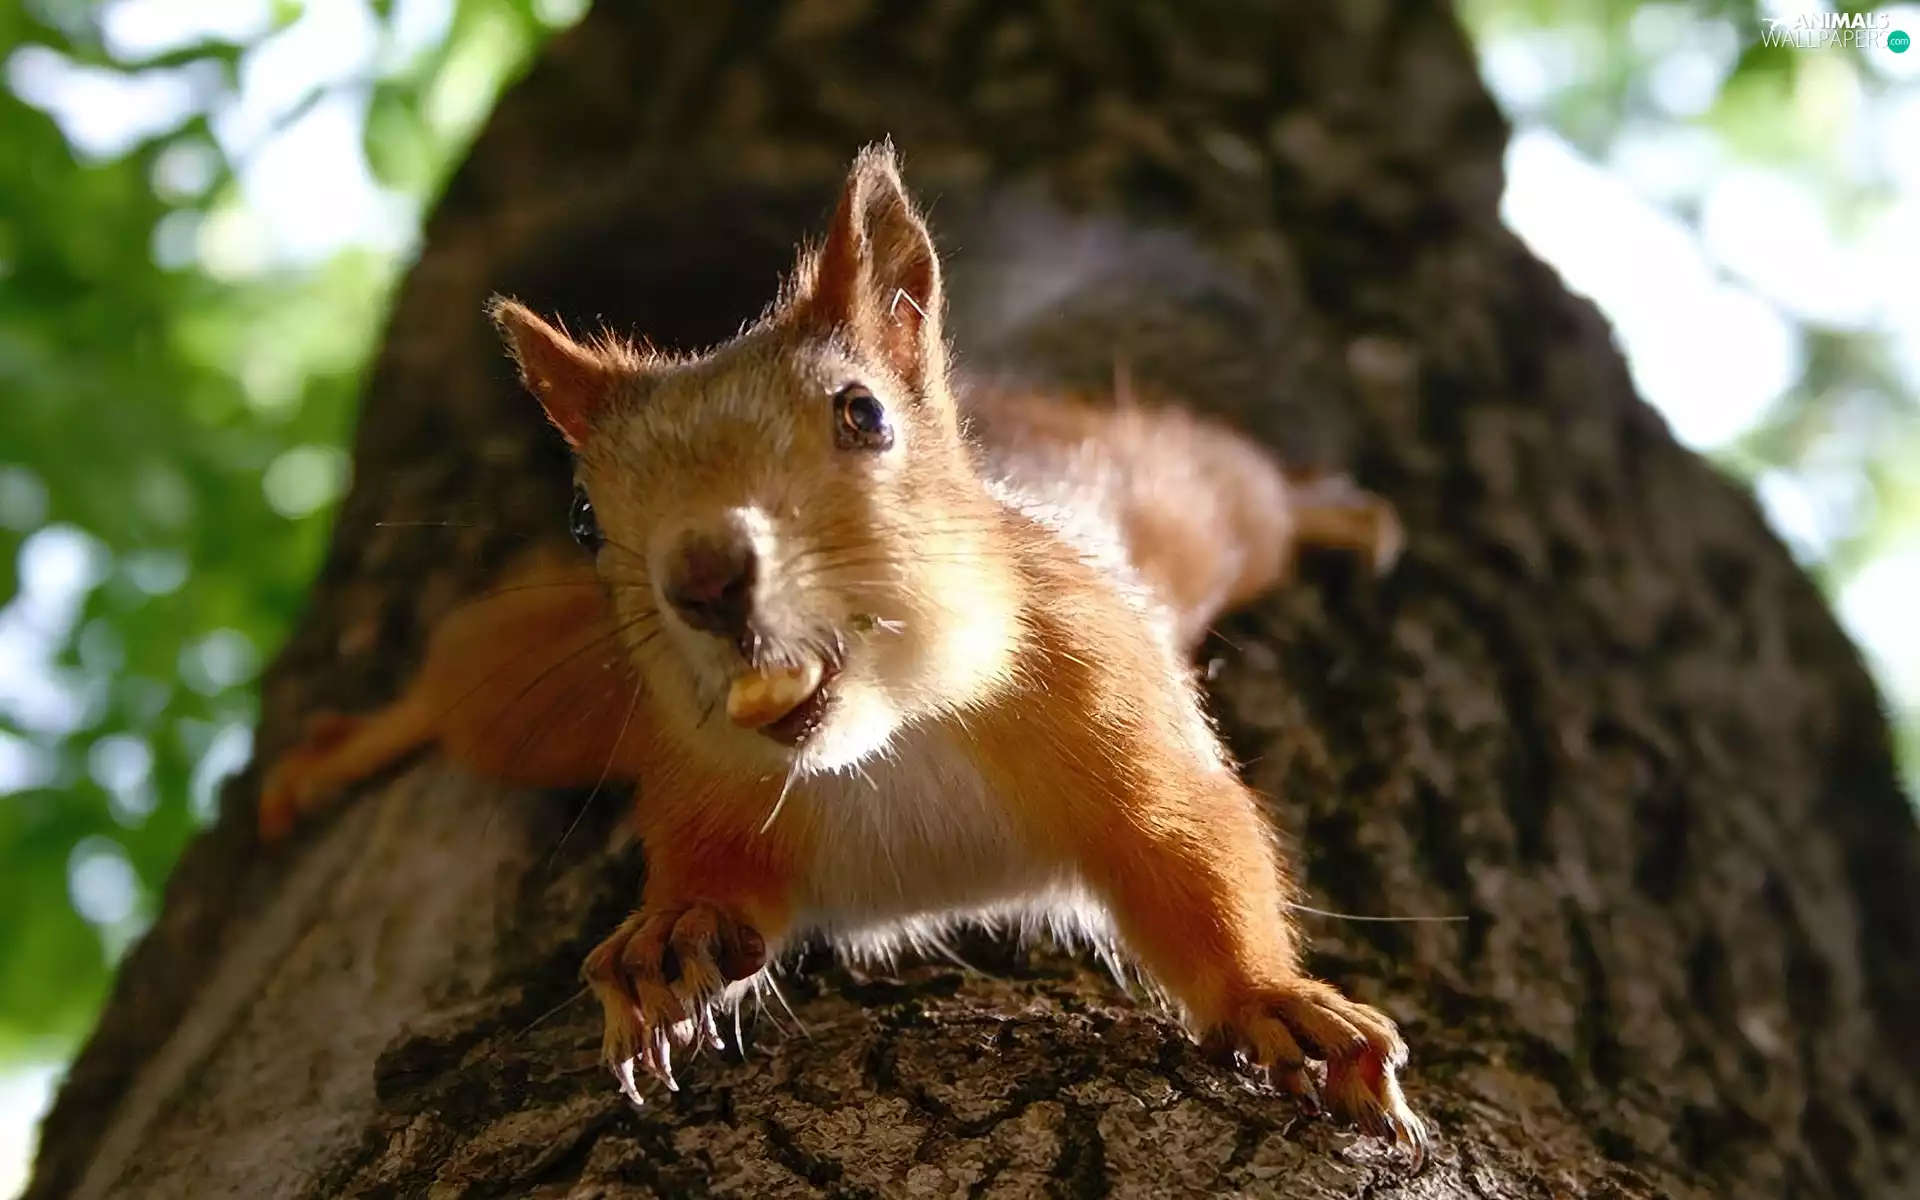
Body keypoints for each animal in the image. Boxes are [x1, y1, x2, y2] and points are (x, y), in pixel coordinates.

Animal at [260, 143, 1424, 1166]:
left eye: (863, 414)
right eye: (585, 518)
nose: (706, 572)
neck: (888, 736)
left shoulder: (1108, 691)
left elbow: (1193, 848)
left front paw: (1277, 1004)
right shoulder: (698, 776)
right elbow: (717, 883)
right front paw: (666, 939)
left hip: (1181, 499)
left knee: (1246, 486)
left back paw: (1333, 514)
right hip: (560, 693)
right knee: (462, 693)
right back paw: (341, 750)